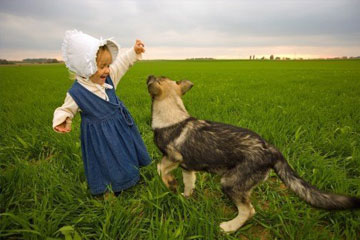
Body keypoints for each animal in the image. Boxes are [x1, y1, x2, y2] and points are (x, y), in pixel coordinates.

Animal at [146, 75, 360, 232]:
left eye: (158, 77)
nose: (149, 74)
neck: (172, 114)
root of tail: (271, 149)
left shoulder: (173, 157)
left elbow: (160, 168)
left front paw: (169, 184)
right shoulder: (187, 167)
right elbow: (189, 184)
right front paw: (183, 195)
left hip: (230, 182)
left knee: (249, 211)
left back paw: (229, 228)